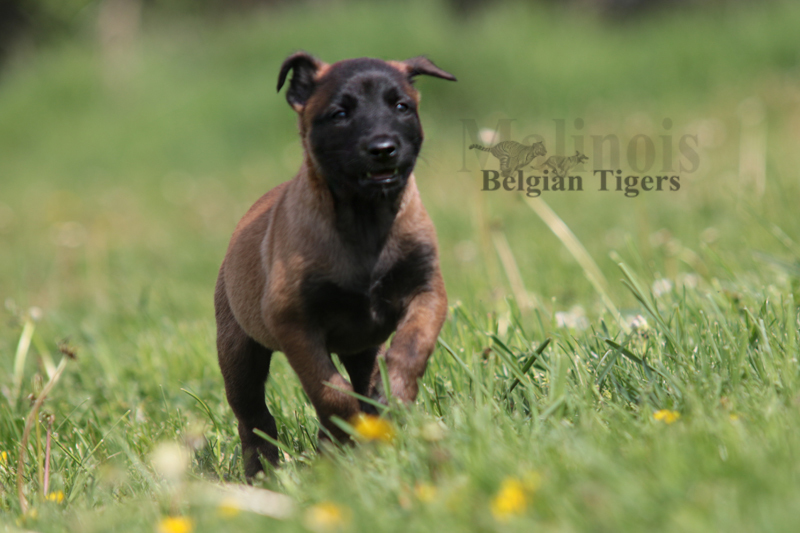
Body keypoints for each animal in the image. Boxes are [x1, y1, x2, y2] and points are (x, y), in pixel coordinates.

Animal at [215, 51, 455, 477]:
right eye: (340, 114)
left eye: (401, 107)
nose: (383, 148)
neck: (365, 221)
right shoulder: (294, 323)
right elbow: (330, 392)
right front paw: (347, 433)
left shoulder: (426, 293)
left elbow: (411, 349)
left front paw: (395, 397)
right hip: (238, 351)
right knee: (253, 416)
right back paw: (264, 471)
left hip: (361, 350)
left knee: (363, 378)